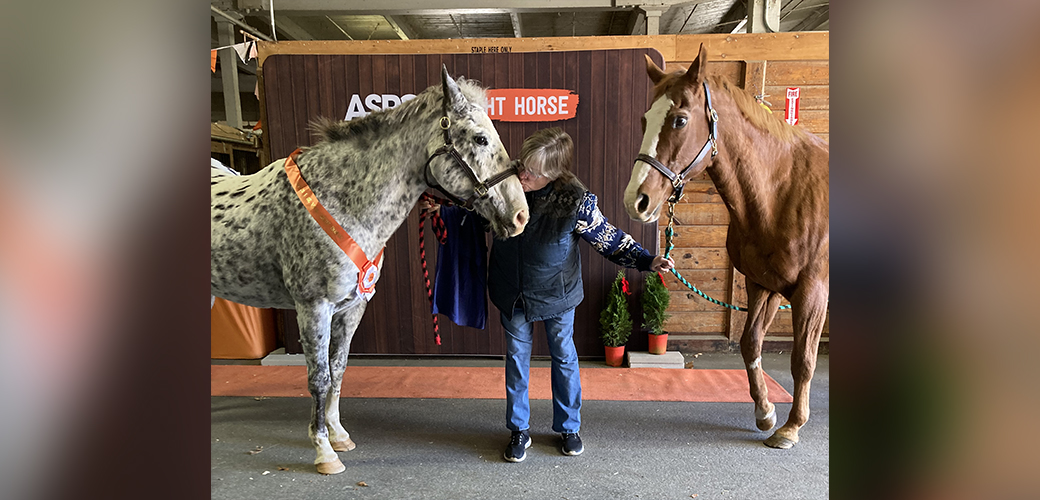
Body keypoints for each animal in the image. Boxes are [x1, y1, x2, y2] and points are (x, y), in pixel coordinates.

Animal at [210, 68, 528, 474]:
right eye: (480, 138)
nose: (521, 215)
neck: (340, 200)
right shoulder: (313, 307)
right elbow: (319, 378)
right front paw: (324, 451)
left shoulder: (352, 307)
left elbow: (339, 370)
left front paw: (339, 436)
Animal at [624, 44, 827, 446]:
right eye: (644, 119)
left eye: (680, 120)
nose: (636, 201)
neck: (782, 192)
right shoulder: (763, 284)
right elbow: (750, 343)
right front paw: (765, 412)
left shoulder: (812, 291)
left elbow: (803, 359)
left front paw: (791, 426)